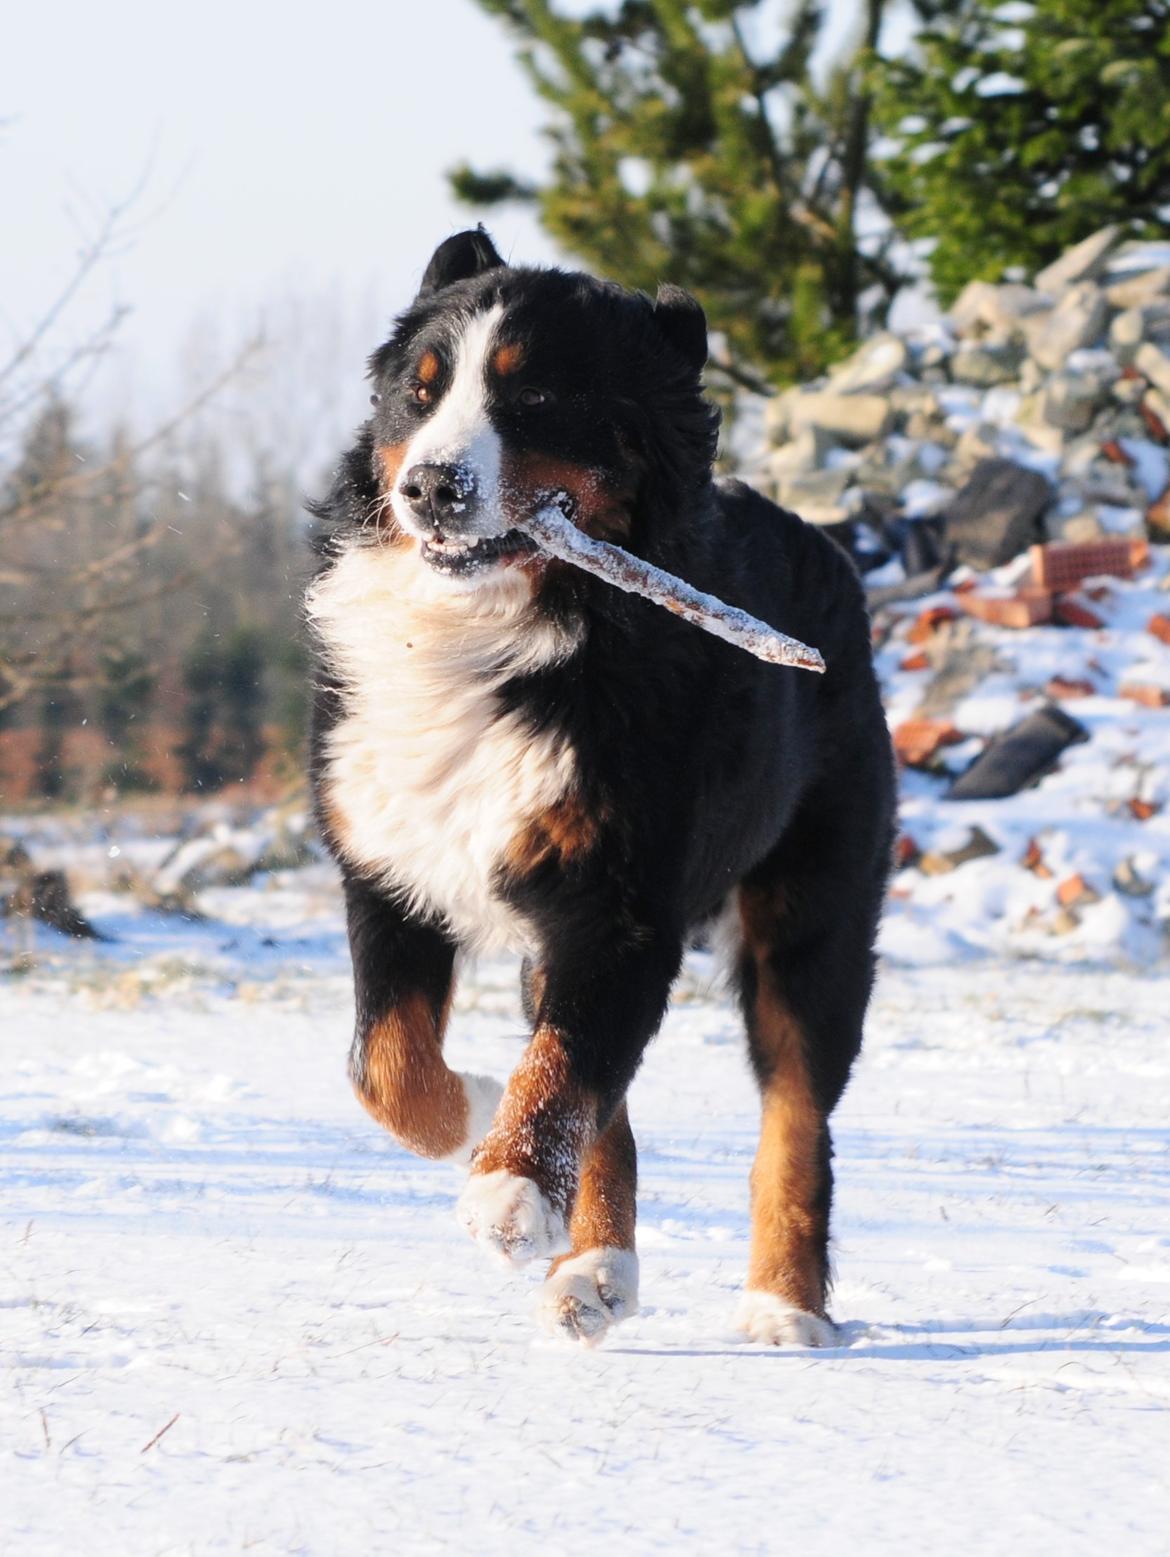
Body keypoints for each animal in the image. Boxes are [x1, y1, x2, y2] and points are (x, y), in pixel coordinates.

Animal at [303, 225, 897, 1345]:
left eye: (535, 398)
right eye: (419, 391)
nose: (433, 487)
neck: (504, 640)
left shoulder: (620, 907)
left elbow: (563, 1070)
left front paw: (505, 1187)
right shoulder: (391, 869)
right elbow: (389, 1065)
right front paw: (479, 1123)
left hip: (812, 919)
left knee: (797, 1116)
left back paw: (782, 1306)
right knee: (605, 1098)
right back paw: (595, 1270)